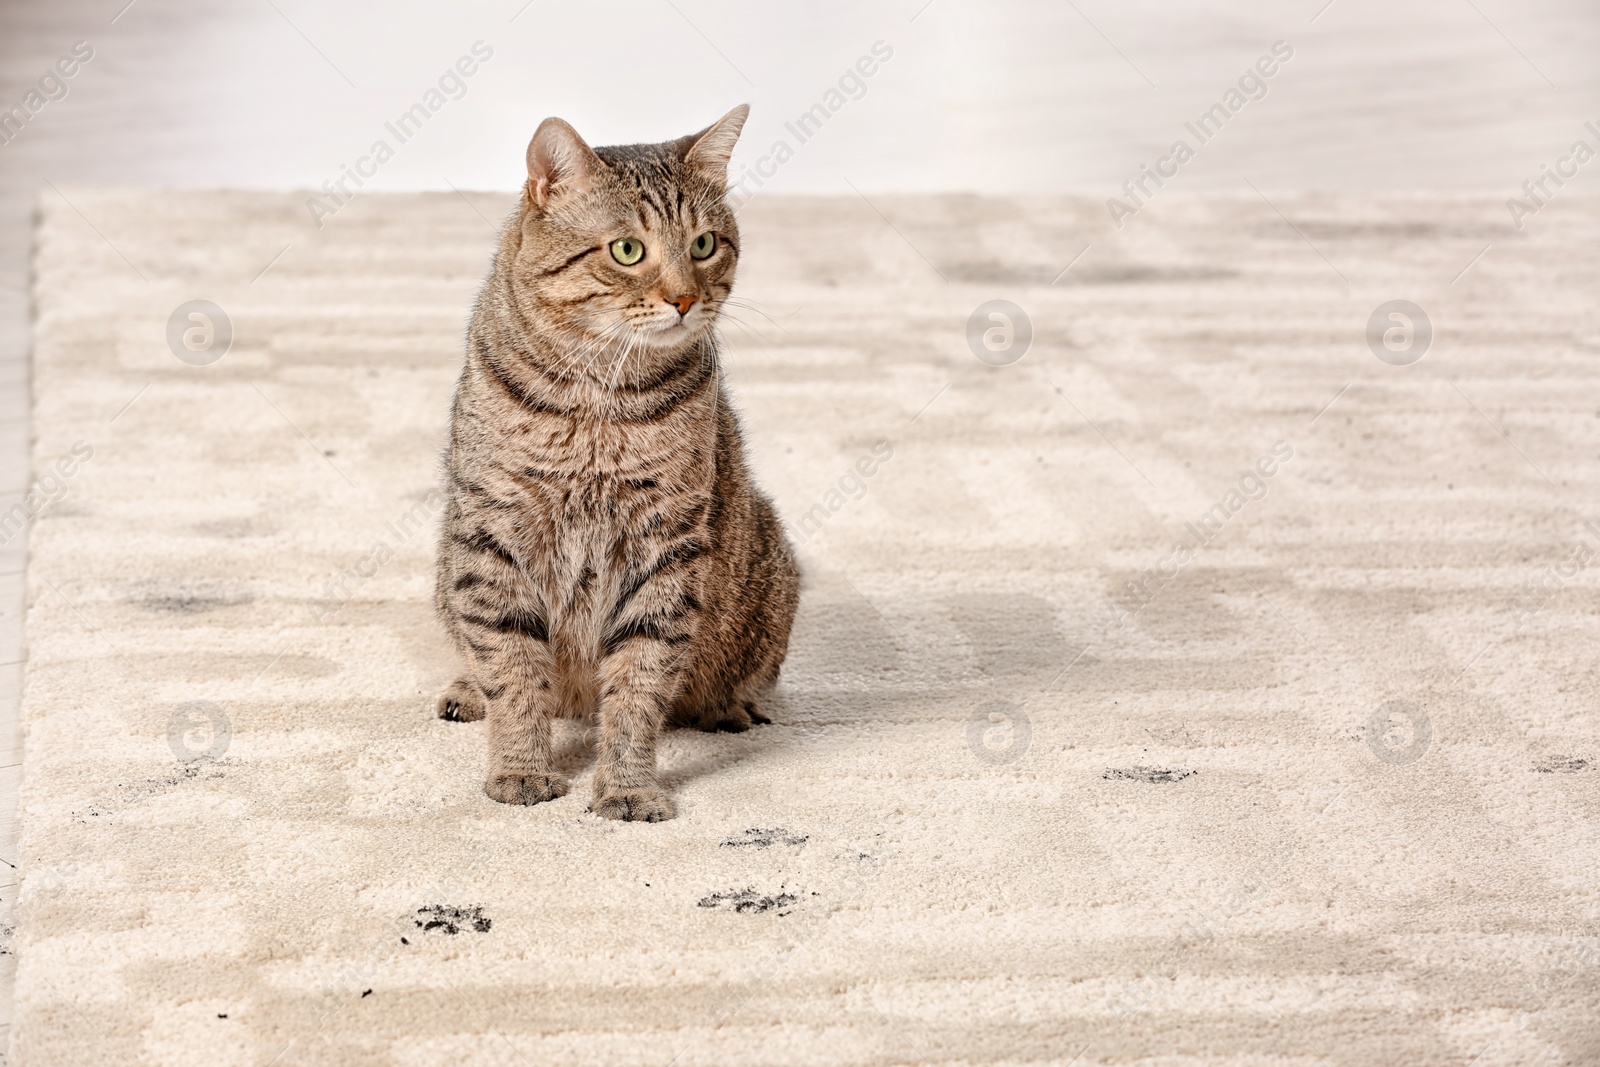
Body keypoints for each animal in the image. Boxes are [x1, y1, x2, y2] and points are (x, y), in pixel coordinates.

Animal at [432, 106, 800, 825]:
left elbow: (638, 683)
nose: (684, 298)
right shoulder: (491, 534)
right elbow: (514, 670)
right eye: (627, 250)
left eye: (704, 244)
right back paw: (466, 690)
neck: (598, 398)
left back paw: (729, 706)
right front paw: (520, 767)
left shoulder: (667, 545)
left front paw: (626, 785)